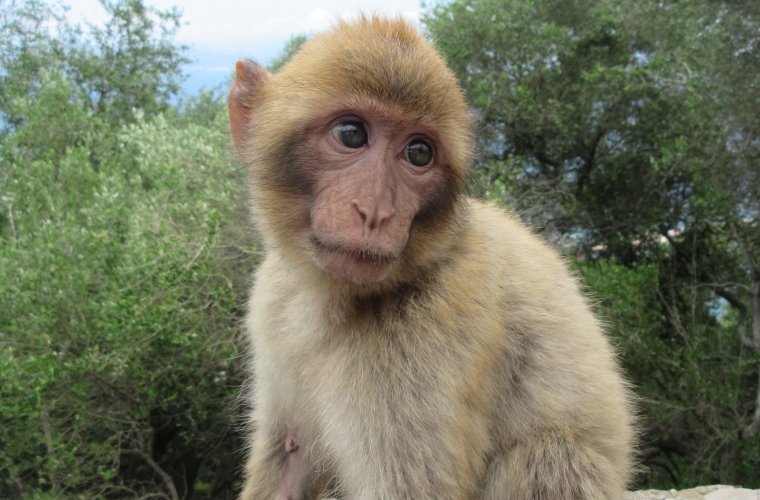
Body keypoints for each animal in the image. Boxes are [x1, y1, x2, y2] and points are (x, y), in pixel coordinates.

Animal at [229, 14, 640, 500]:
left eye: (418, 153)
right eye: (351, 134)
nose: (376, 212)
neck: (333, 297)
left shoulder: (421, 333)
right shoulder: (273, 300)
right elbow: (290, 453)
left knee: (549, 456)